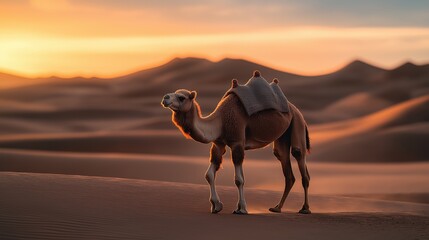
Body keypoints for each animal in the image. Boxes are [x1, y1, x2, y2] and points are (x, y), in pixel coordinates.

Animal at [159, 71, 310, 214]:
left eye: (181, 97)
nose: (165, 97)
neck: (220, 121)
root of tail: (295, 109)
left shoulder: (237, 142)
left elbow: (239, 179)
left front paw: (241, 209)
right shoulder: (219, 144)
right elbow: (209, 175)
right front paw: (216, 206)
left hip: (297, 122)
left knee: (299, 157)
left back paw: (305, 209)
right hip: (283, 135)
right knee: (285, 165)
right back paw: (277, 208)